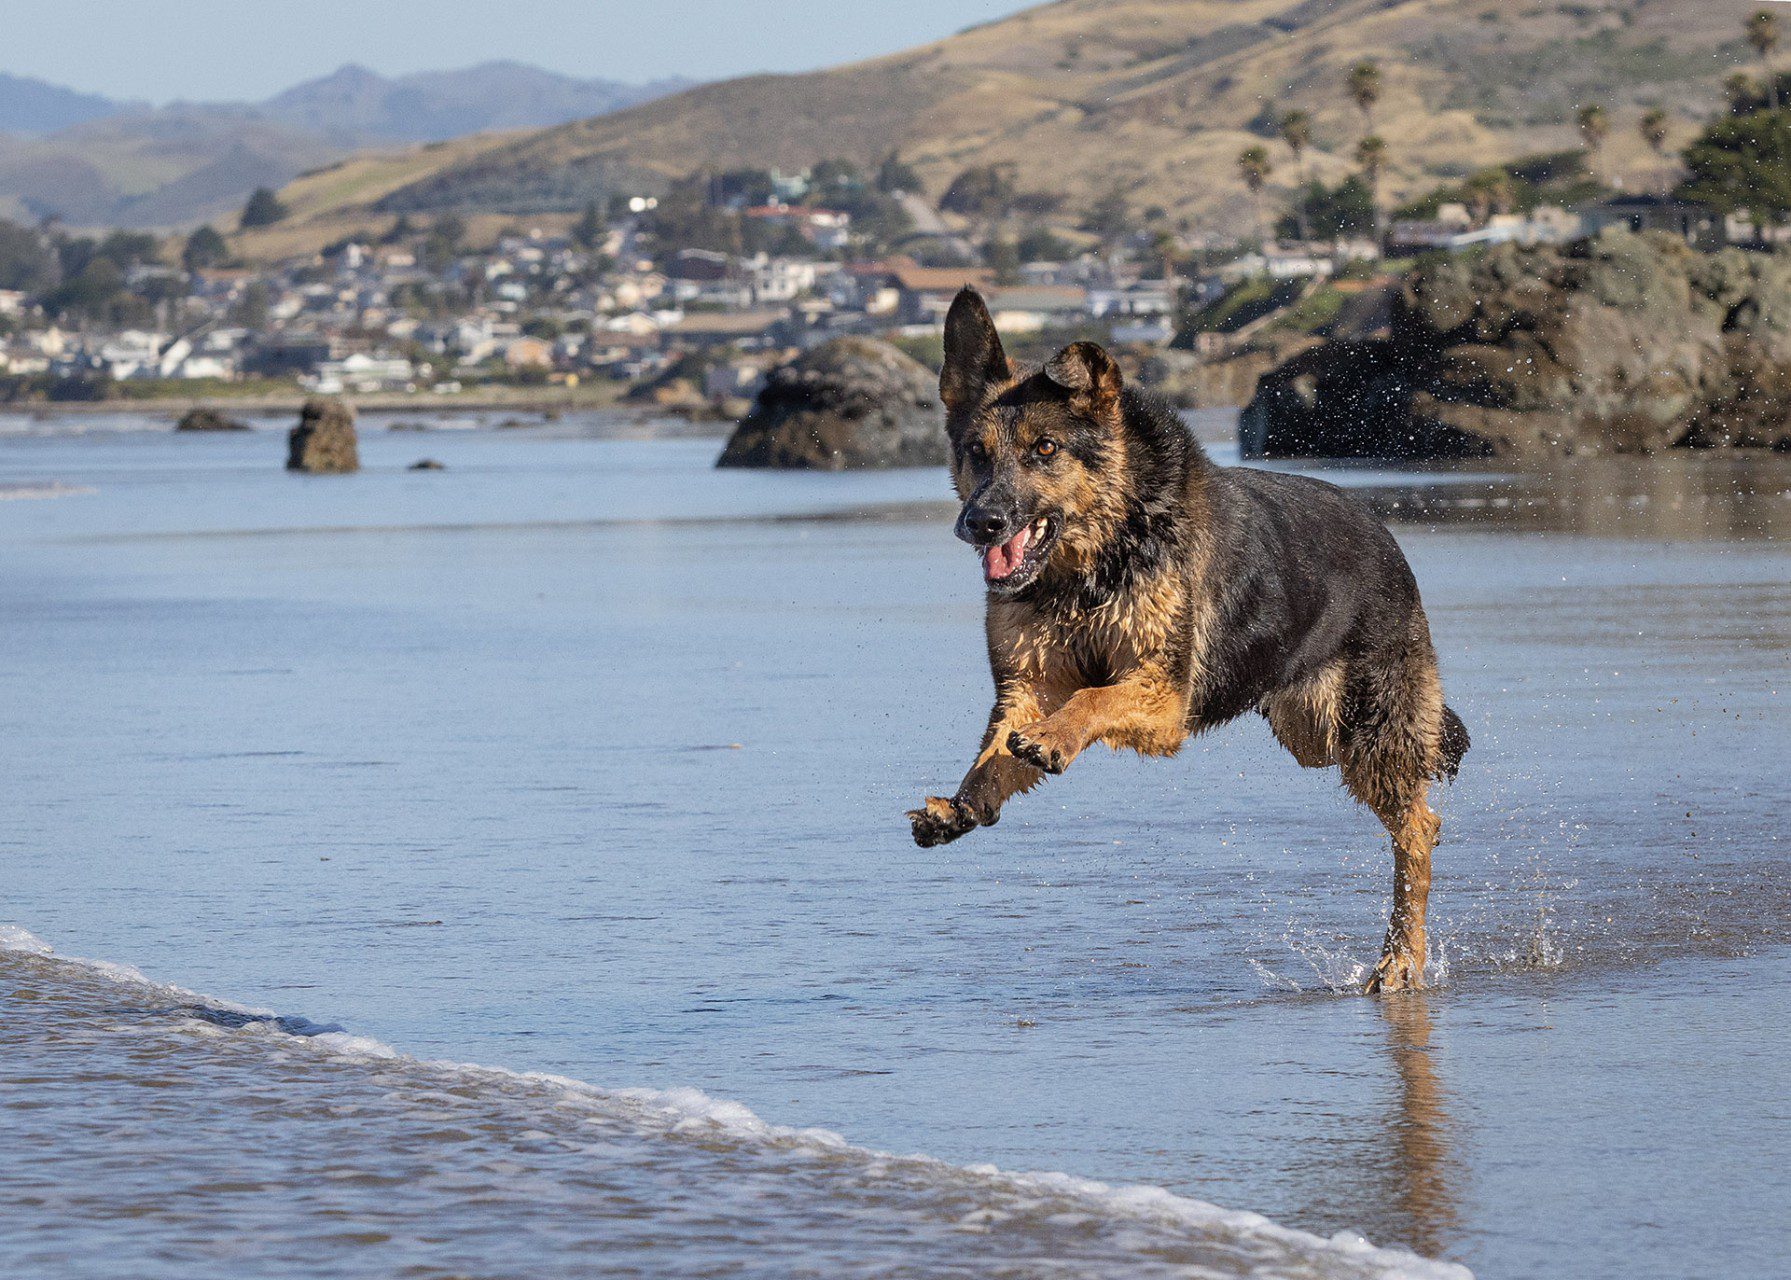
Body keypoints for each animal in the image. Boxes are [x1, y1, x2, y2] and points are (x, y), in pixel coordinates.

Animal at [909, 288, 1468, 988]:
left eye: (1044, 449)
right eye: (977, 452)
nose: (980, 523)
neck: (1099, 555)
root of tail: (1388, 539)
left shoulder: (1164, 698)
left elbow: (1091, 700)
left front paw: (1055, 737)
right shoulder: (1029, 683)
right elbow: (994, 751)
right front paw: (963, 804)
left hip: (1370, 738)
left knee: (1419, 830)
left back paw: (1399, 958)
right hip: (1314, 732)